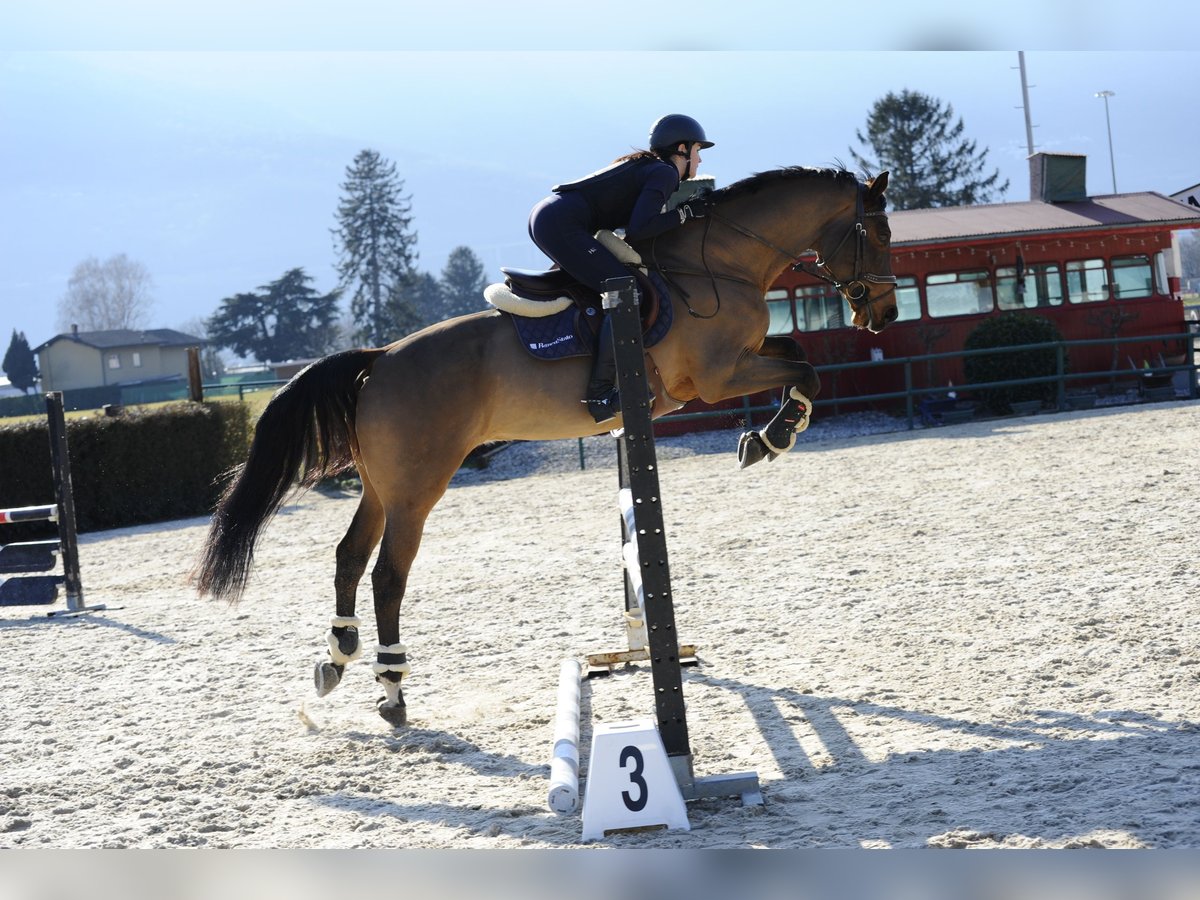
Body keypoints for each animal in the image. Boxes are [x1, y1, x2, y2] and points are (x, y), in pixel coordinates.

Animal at [192, 165, 897, 724]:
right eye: (882, 234)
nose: (883, 317)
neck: (717, 261)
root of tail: (381, 358)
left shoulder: (740, 361)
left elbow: (795, 352)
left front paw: (773, 432)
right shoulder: (719, 376)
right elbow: (804, 369)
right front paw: (772, 437)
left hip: (382, 484)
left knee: (347, 557)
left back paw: (337, 660)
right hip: (419, 486)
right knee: (389, 574)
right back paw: (392, 690)